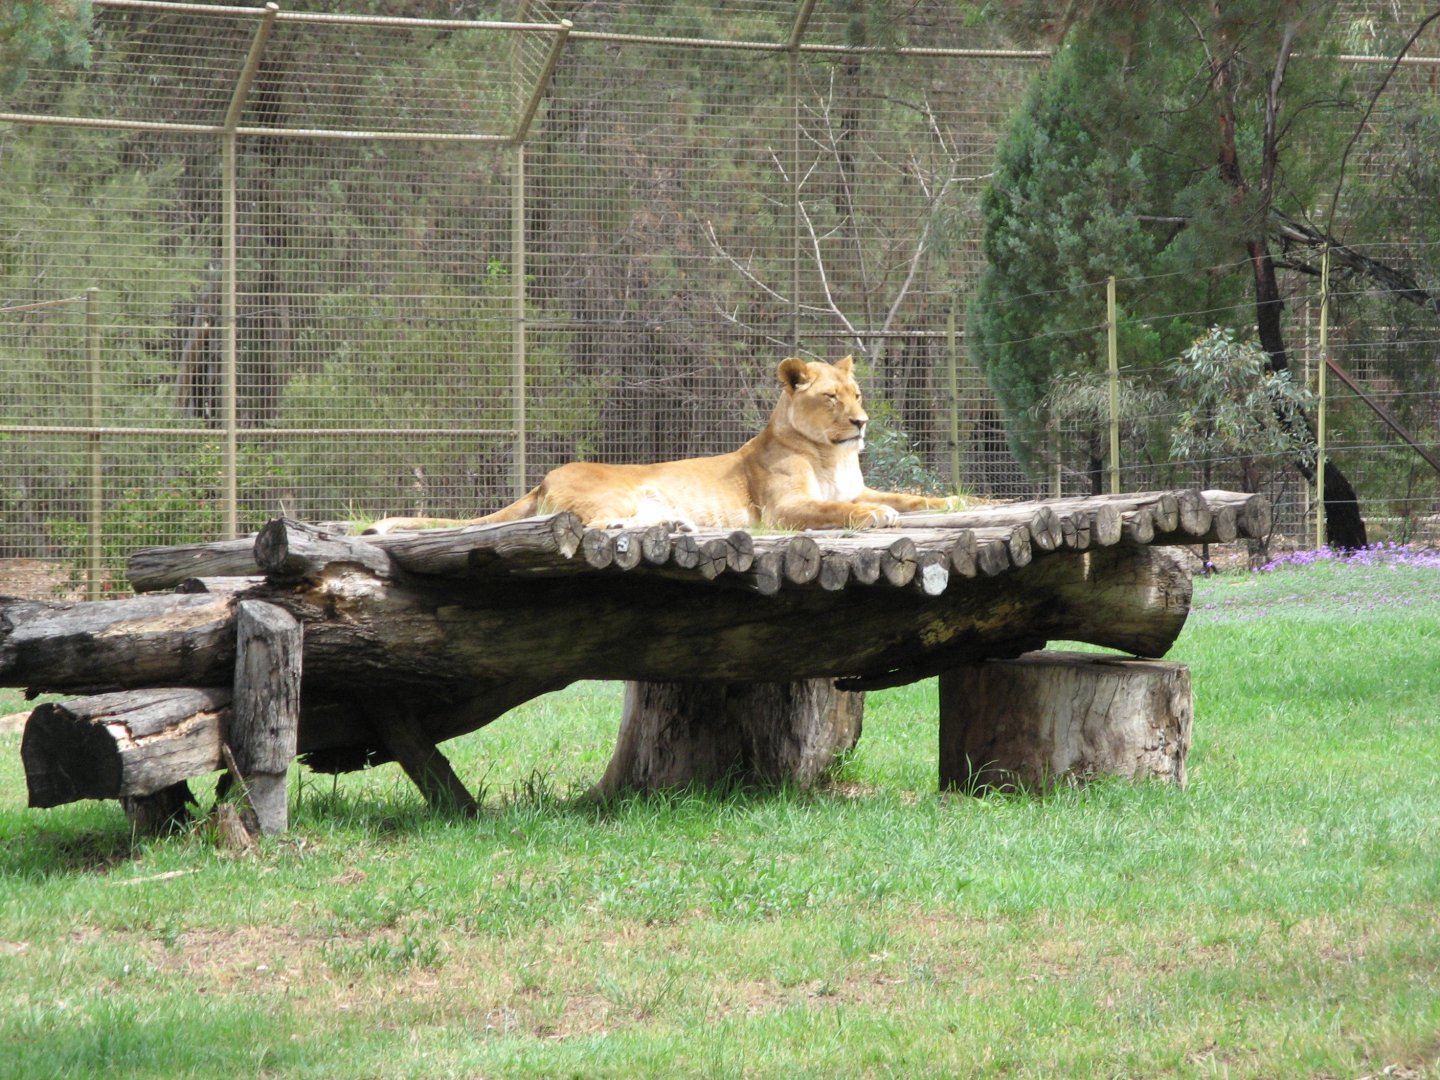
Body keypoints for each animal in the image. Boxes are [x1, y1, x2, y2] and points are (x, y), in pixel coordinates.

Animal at [366, 355, 958, 534]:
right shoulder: (783, 508)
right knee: (587, 524)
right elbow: (834, 509)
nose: (862, 422)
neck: (832, 454)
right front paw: (875, 518)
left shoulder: (857, 485)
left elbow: (911, 496)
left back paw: (675, 526)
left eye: (858, 395)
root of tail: (546, 475)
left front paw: (958, 501)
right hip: (615, 496)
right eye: (832, 398)